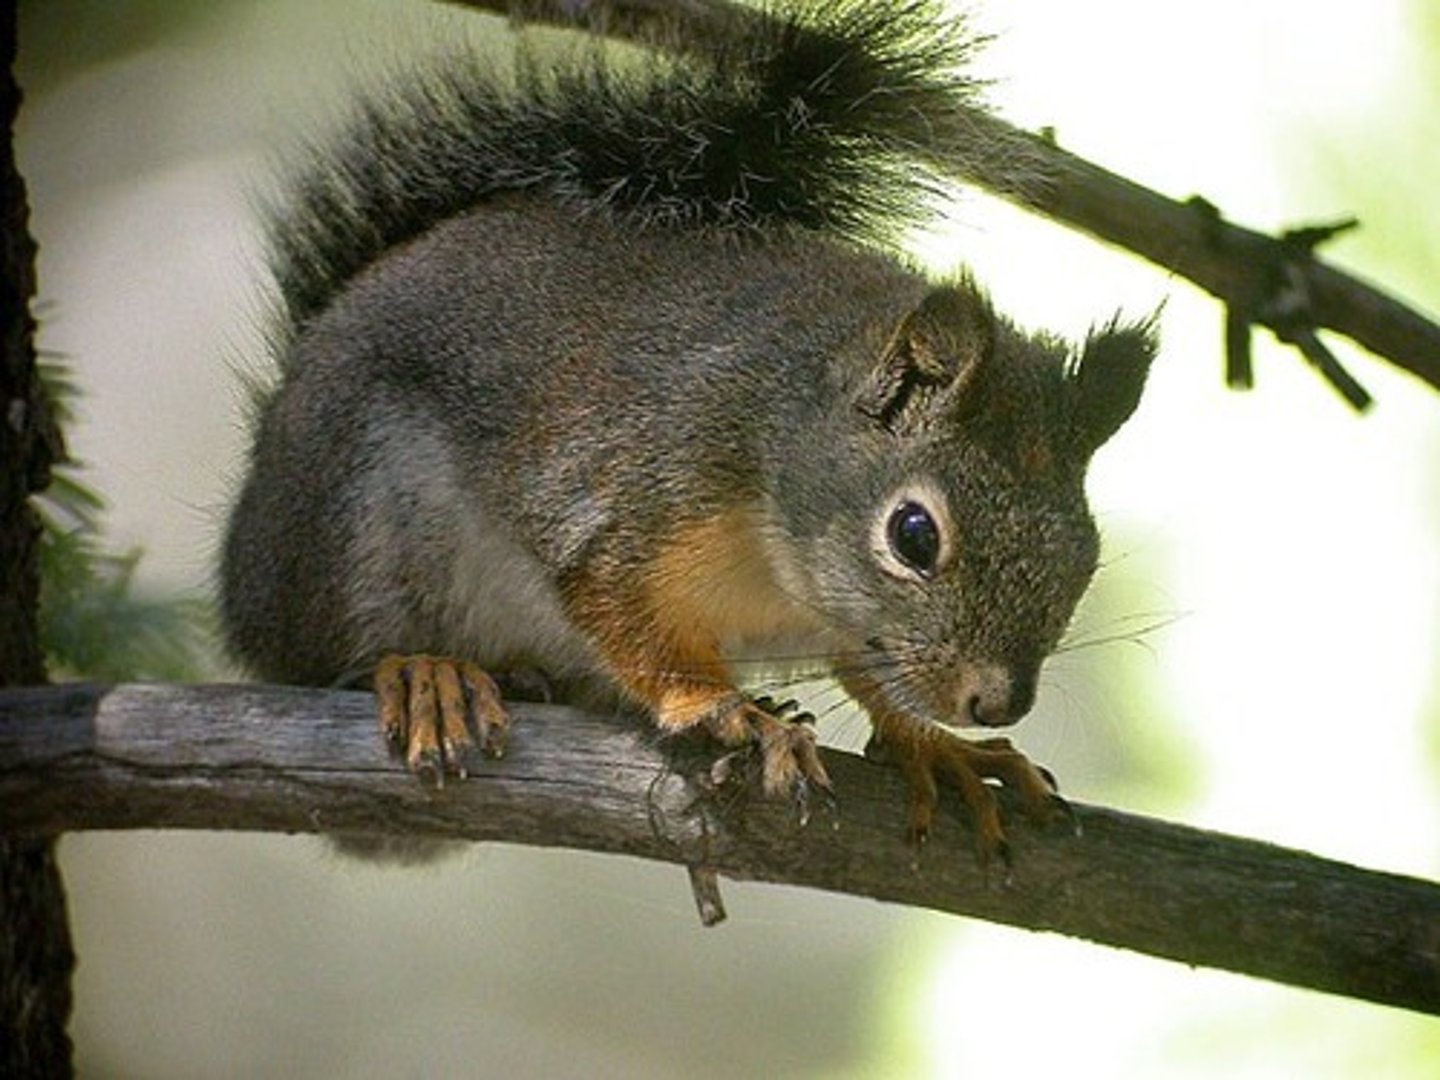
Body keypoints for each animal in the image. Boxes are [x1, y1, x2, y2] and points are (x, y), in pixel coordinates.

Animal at [220, 0, 1155, 864]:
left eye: (1086, 554)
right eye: (914, 535)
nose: (997, 702)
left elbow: (868, 664)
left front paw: (934, 750)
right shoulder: (636, 494)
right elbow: (627, 616)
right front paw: (725, 709)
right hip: (357, 521)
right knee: (337, 653)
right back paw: (426, 674)